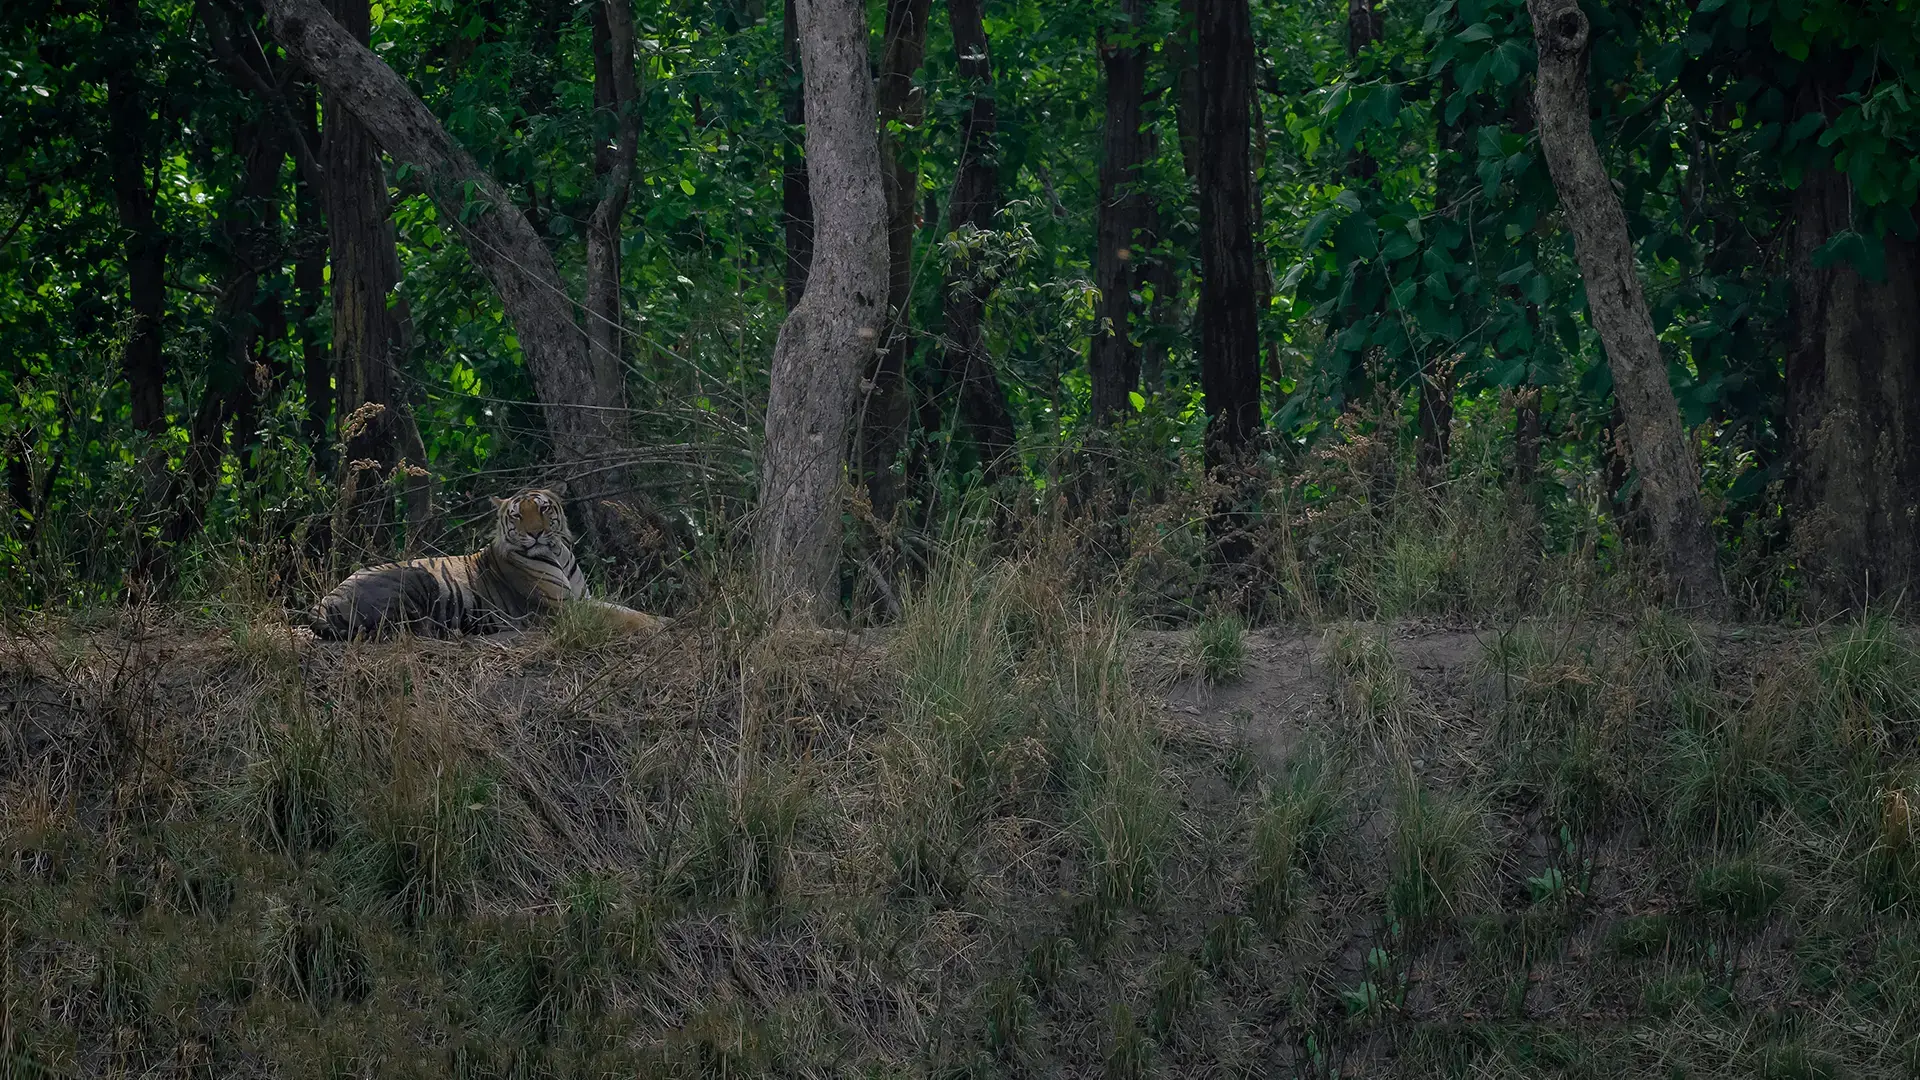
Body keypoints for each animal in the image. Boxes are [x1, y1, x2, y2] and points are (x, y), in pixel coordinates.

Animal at [306, 488, 663, 640]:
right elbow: (620, 616)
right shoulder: (565, 608)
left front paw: (661, 619)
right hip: (417, 578)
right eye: (517, 515)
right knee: (403, 627)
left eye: (544, 509)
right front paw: (658, 626)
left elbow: (624, 608)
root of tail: (323, 601)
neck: (558, 553)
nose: (535, 533)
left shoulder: (582, 598)